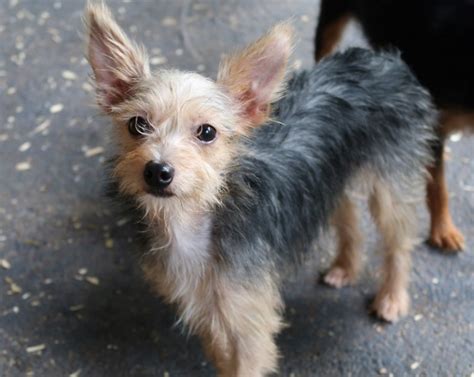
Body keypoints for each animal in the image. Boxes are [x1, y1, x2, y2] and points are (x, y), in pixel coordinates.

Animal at [83, 2, 436, 376]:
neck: (197, 220)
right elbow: (223, 359)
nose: (158, 171)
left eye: (207, 132)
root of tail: (382, 59)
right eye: (137, 124)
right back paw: (345, 267)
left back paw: (392, 298)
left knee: (399, 241)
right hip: (333, 174)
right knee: (348, 215)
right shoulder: (210, 311)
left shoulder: (250, 325)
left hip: (391, 187)